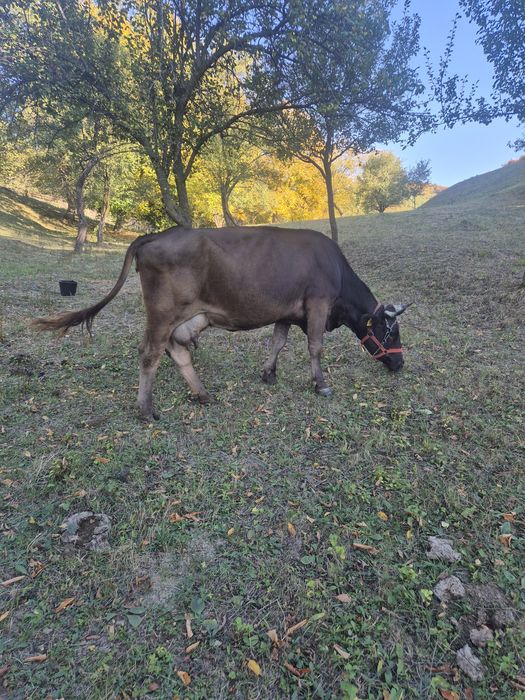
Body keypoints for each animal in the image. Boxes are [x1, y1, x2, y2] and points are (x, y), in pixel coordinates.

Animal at [32, 226, 410, 420]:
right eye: (390, 331)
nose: (400, 364)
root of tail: (157, 234)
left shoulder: (287, 312)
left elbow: (278, 341)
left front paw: (269, 373)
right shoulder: (317, 303)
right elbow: (315, 347)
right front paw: (321, 384)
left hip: (180, 318)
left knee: (176, 351)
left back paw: (202, 394)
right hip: (163, 313)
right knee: (149, 353)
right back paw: (145, 408)